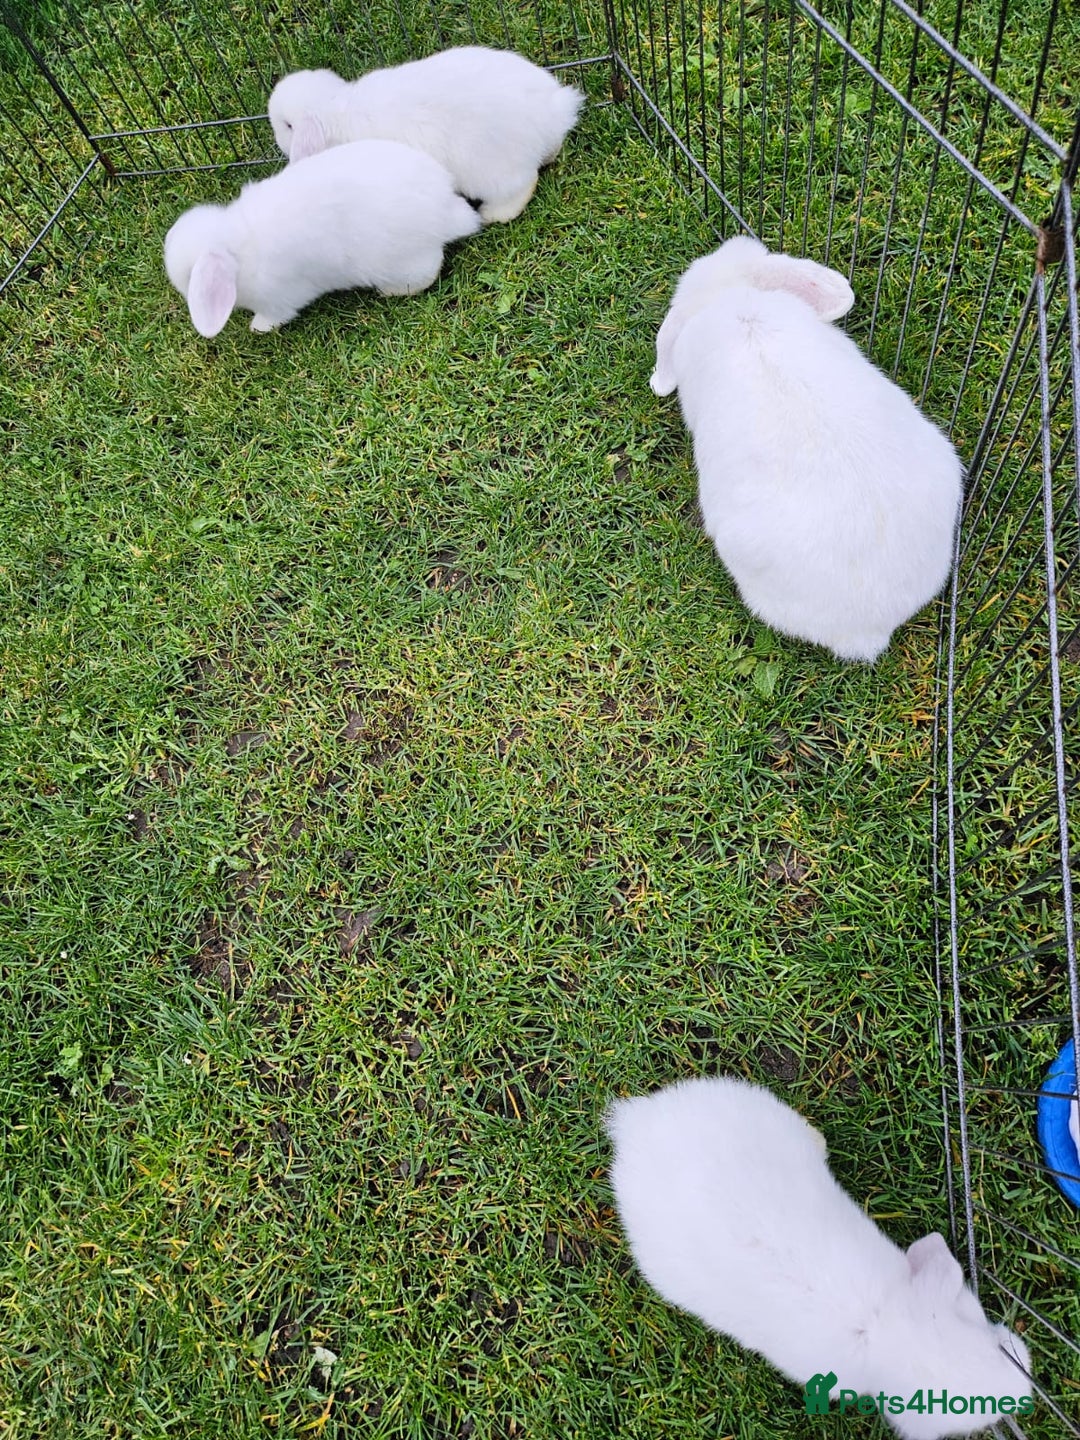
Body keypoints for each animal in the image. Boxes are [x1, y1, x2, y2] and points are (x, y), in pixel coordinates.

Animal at [163, 139, 481, 337]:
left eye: (187, 275)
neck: (237, 246)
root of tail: (447, 212)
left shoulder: (278, 300)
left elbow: (275, 315)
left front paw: (258, 328)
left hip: (405, 265)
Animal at [267, 46, 584, 224]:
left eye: (286, 125)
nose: (277, 139)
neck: (336, 110)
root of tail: (551, 112)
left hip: (490, 171)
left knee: (522, 186)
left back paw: (492, 215)